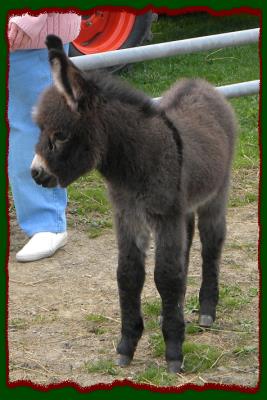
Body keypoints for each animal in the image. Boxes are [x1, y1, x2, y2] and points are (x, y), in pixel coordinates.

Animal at [30, 35, 238, 376]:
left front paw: (174, 351)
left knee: (211, 244)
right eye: (41, 130)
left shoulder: (164, 217)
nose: (36, 173)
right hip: (183, 209)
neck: (133, 164)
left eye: (60, 135)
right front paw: (127, 346)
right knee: (187, 247)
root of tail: (201, 84)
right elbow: (128, 275)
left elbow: (165, 276)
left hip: (215, 194)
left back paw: (207, 310)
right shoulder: (128, 215)